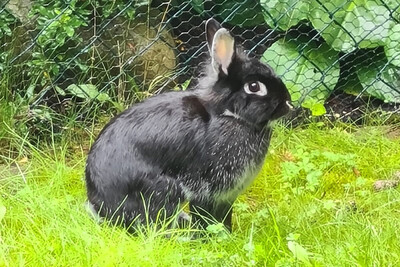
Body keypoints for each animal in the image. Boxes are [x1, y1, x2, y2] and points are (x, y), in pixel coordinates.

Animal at [85, 18, 290, 232]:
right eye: (254, 87)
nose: (288, 103)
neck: (229, 115)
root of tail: (101, 207)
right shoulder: (207, 189)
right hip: (163, 190)